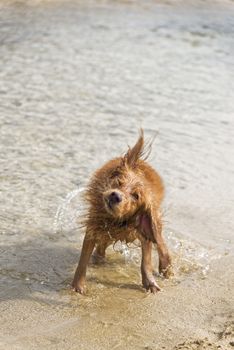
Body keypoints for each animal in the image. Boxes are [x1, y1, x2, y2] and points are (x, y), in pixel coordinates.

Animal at [72, 130, 173, 294]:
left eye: (136, 196)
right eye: (119, 182)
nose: (115, 196)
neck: (117, 219)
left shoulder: (144, 229)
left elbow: (146, 261)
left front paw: (150, 283)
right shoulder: (94, 227)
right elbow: (83, 259)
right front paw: (78, 285)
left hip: (154, 223)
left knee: (160, 242)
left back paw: (166, 267)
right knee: (101, 248)